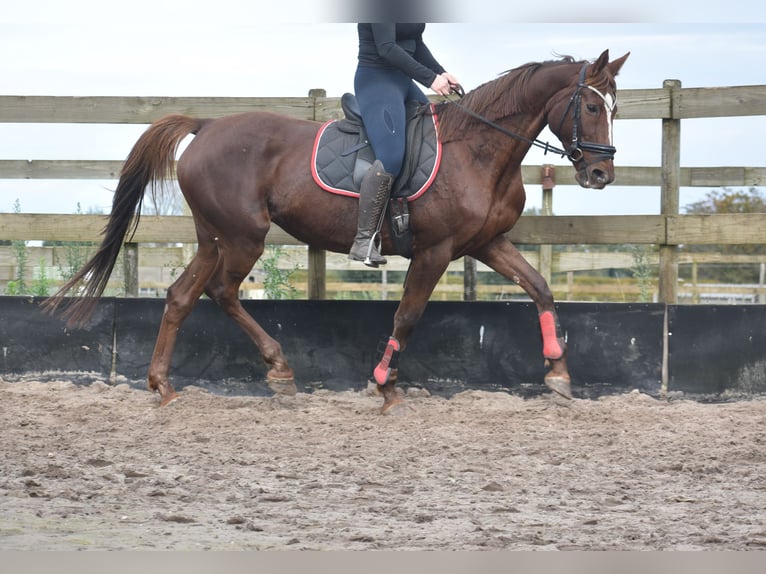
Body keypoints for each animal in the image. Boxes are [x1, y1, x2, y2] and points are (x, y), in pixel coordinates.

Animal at [43, 48, 632, 410]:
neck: (481, 150)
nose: (601, 174)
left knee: (182, 295)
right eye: (590, 104)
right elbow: (408, 315)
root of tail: (206, 126)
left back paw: (164, 384)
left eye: (616, 108)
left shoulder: (487, 242)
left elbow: (540, 287)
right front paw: (384, 385)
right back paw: (277, 370)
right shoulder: (436, 250)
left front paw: (559, 375)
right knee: (221, 291)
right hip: (243, 236)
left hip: (214, 237)